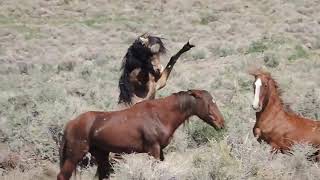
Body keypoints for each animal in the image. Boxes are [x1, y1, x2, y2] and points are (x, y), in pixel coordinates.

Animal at [56, 89, 225, 179]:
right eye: (209, 103)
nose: (221, 123)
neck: (159, 115)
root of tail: (70, 123)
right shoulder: (153, 150)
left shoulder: (160, 151)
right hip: (74, 156)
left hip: (101, 154)